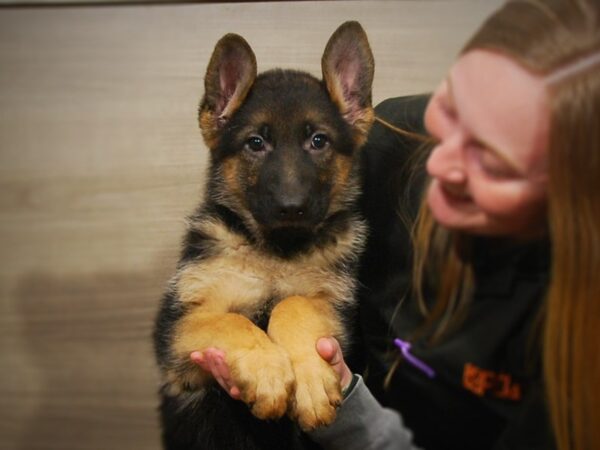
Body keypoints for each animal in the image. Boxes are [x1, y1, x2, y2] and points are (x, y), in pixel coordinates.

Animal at [152, 22, 372, 450]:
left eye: (318, 141)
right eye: (256, 143)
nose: (291, 207)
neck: (275, 252)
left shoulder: (334, 311)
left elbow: (294, 304)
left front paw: (310, 381)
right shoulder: (179, 329)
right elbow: (233, 322)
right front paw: (268, 371)